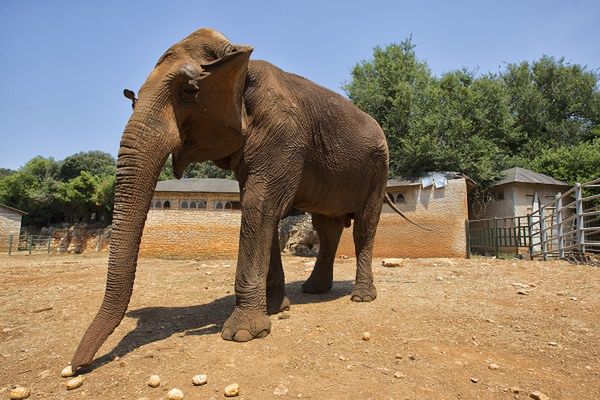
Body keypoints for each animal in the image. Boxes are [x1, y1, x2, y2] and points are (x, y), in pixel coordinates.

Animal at [70, 27, 408, 372]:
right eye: (133, 99)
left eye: (188, 92)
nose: (77, 367)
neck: (242, 65)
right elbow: (258, 208)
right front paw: (276, 308)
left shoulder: (283, 137)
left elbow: (261, 206)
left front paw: (243, 334)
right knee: (327, 228)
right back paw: (313, 290)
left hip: (377, 170)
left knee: (363, 226)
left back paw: (361, 297)